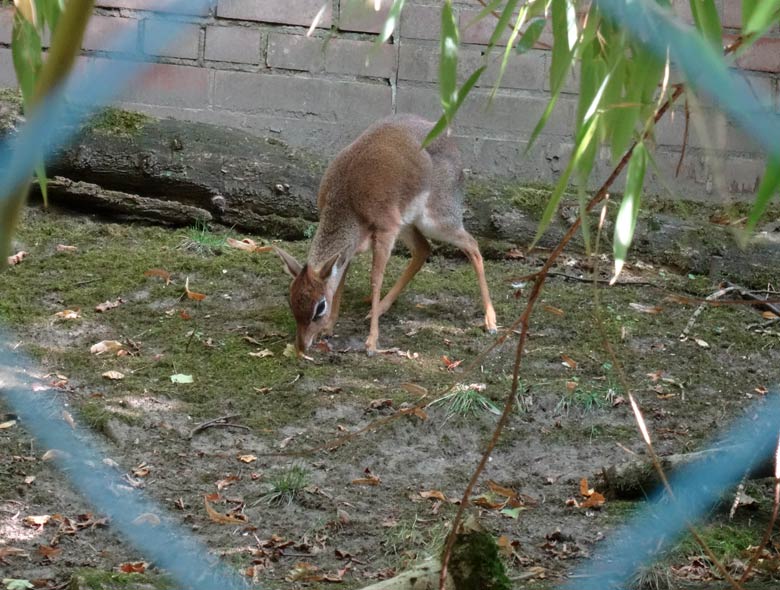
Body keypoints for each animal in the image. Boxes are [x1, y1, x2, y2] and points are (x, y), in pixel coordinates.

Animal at [274, 115, 494, 356]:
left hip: (436, 222)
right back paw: (378, 309)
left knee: (472, 244)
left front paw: (371, 343)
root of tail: (451, 141)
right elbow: (340, 280)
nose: (301, 346)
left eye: (320, 306)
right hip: (407, 224)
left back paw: (490, 322)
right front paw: (330, 328)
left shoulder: (385, 232)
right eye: (292, 301)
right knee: (423, 249)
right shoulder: (351, 248)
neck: (347, 199)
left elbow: (375, 280)